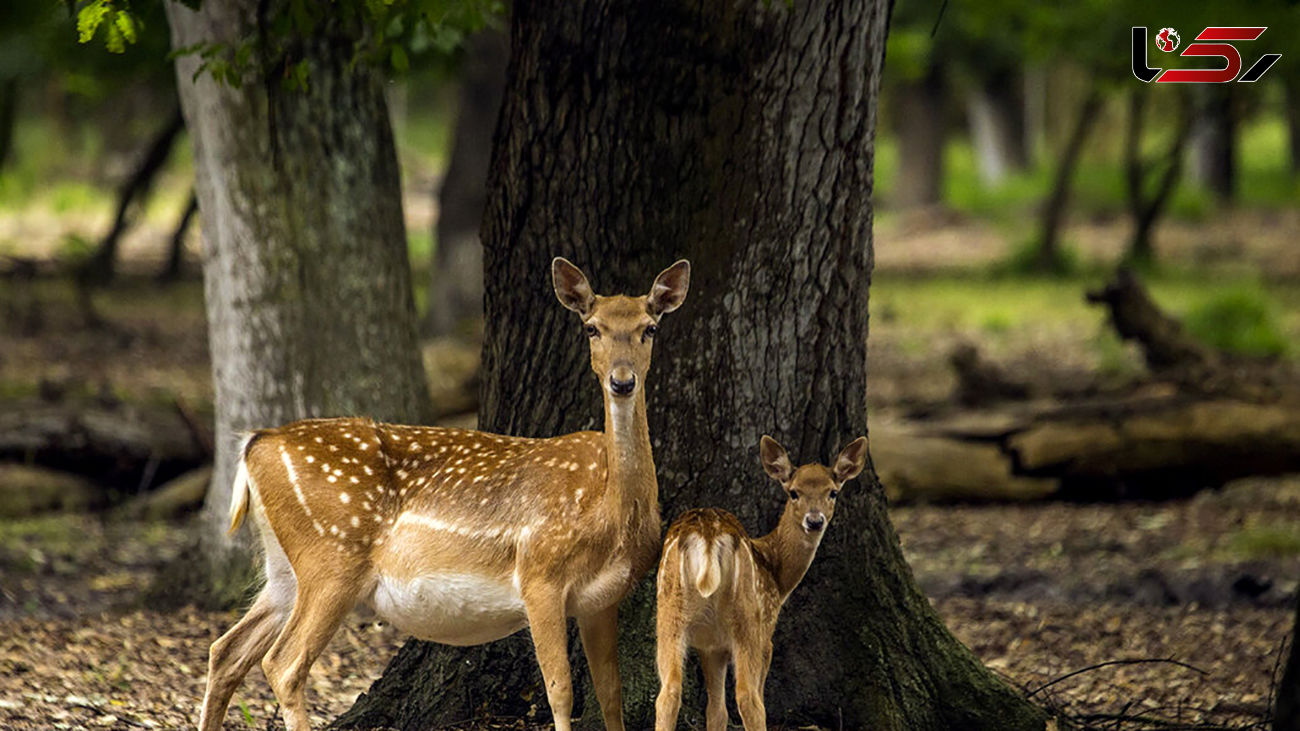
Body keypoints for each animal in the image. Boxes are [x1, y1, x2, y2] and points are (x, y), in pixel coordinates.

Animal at [197, 257, 686, 728]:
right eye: (592, 328)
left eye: (649, 327)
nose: (622, 381)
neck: (608, 512)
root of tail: (256, 443)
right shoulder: (540, 574)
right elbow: (560, 693)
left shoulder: (601, 601)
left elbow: (610, 695)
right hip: (331, 556)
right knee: (283, 663)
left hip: (284, 567)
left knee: (226, 650)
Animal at [655, 431, 868, 728]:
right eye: (793, 493)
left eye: (832, 492)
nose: (815, 521)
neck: (777, 574)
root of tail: (708, 536)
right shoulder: (766, 629)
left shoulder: (711, 646)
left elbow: (716, 711)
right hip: (747, 619)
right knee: (749, 699)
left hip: (668, 612)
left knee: (668, 694)